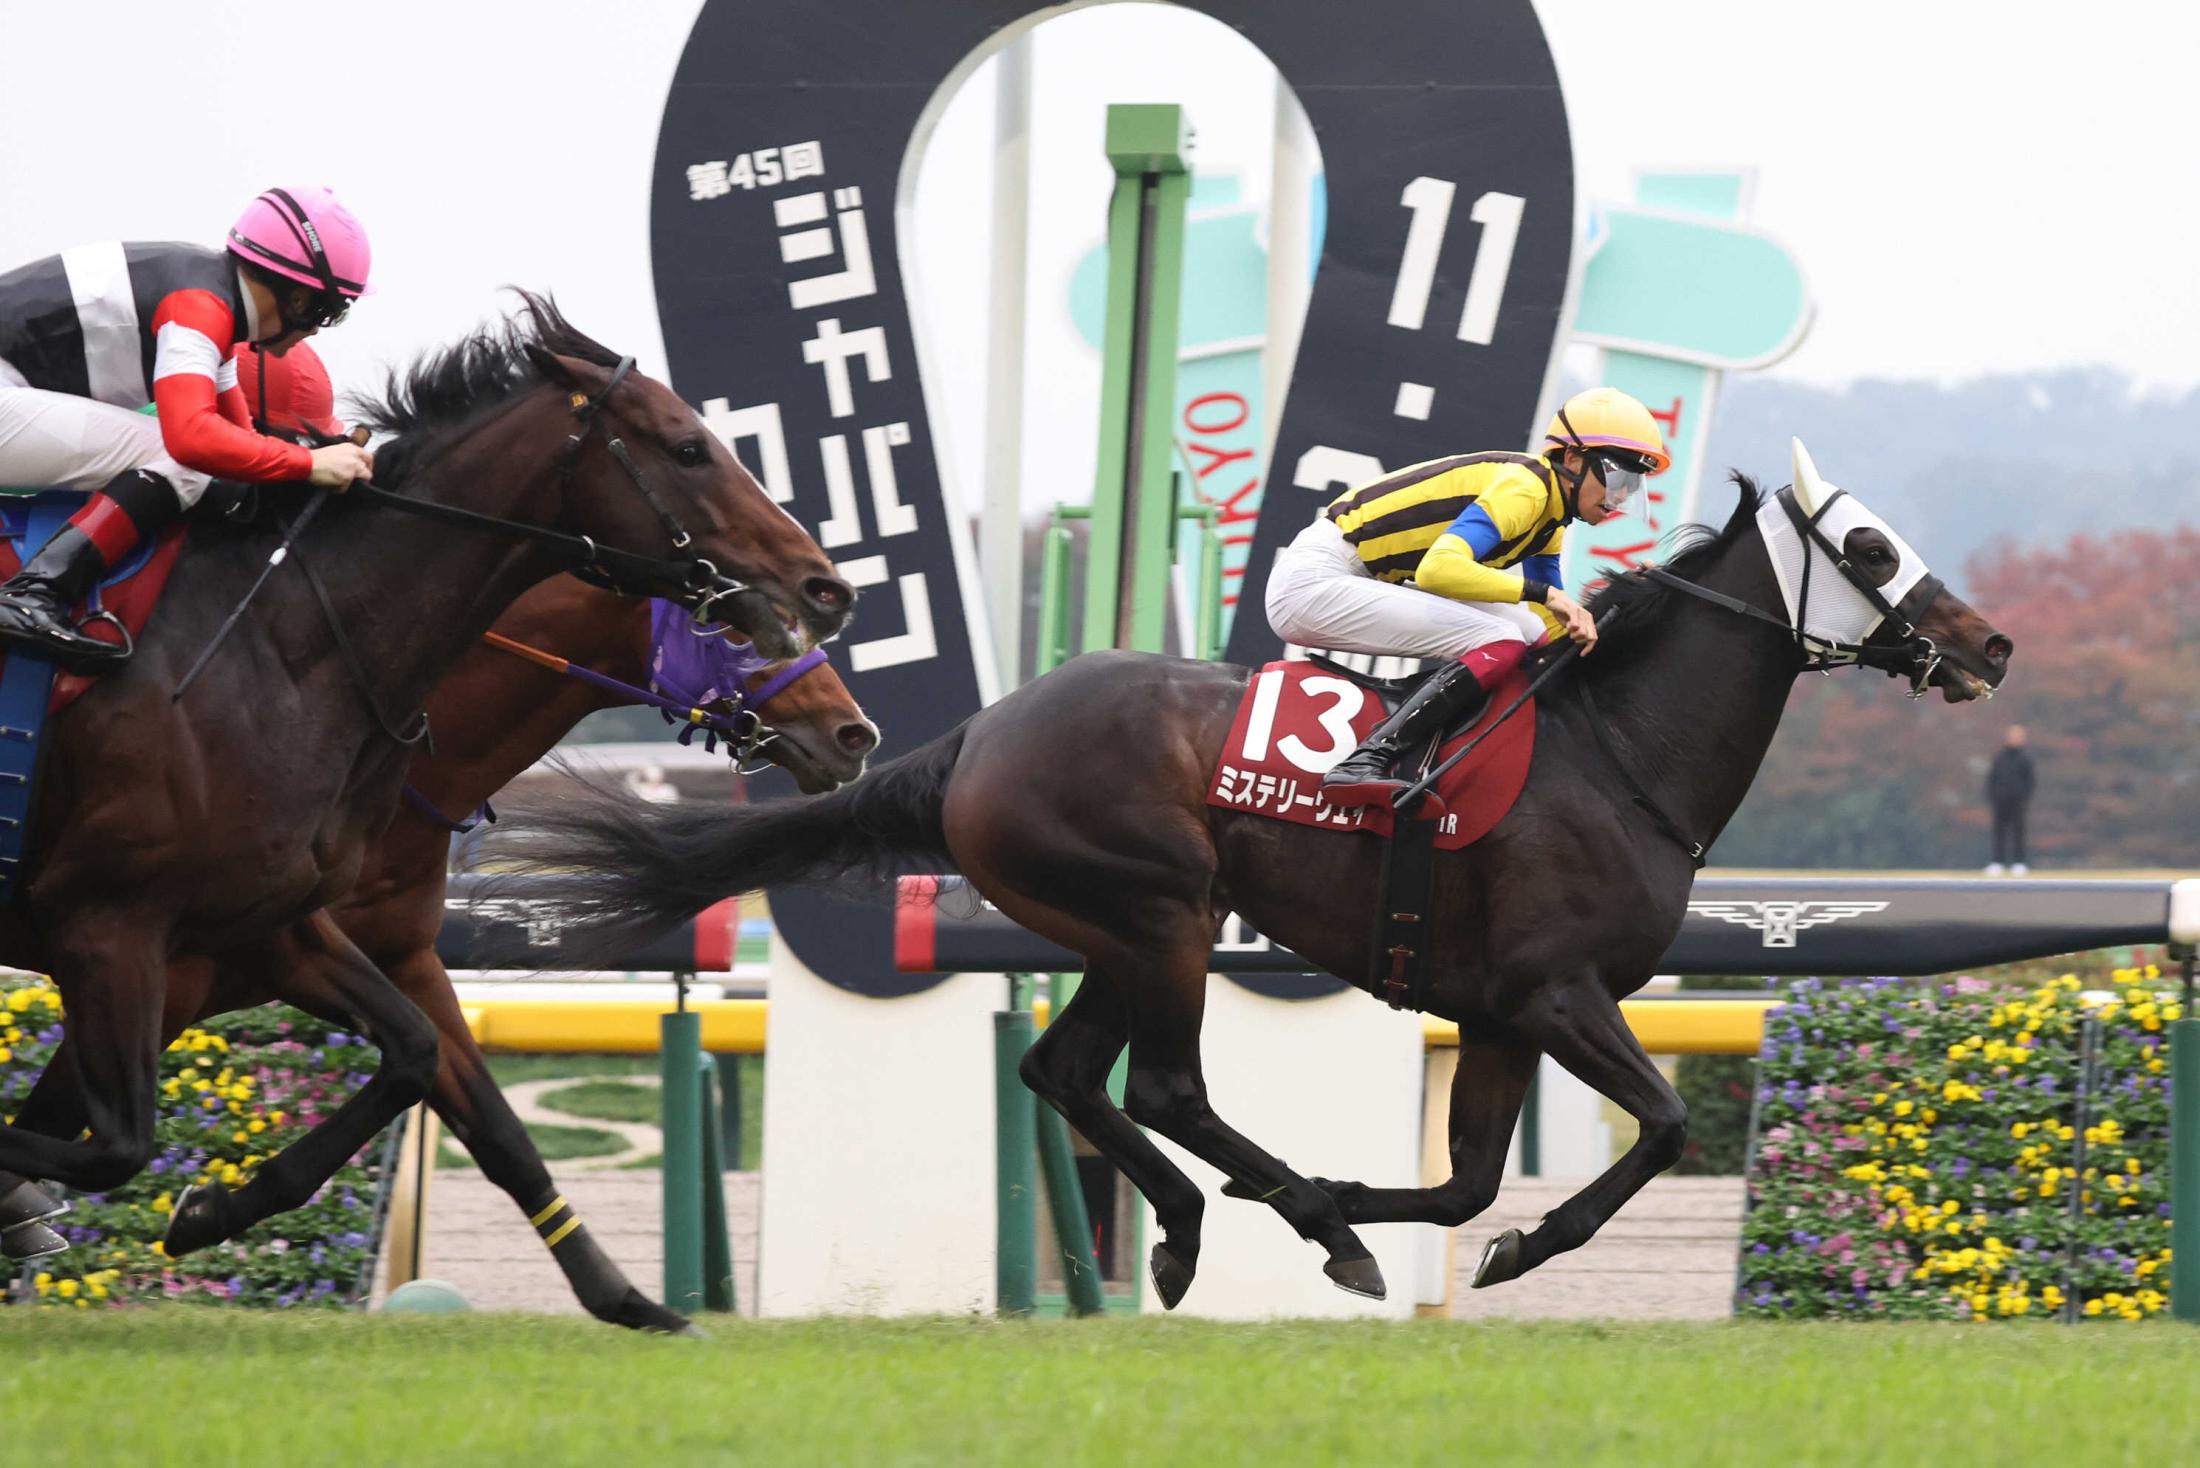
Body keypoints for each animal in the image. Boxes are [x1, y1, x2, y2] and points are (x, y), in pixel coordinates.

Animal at [0, 295, 853, 1237]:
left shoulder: (284, 927)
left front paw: (211, 1207)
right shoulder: (113, 935)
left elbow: (430, 1071)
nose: (826, 591)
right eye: (689, 447)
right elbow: (107, 1143)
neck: (285, 646)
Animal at [0, 572, 874, 1329]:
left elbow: (491, 1124)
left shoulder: (400, 963)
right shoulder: (159, 966)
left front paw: (627, 1300)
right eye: (735, 625)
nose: (853, 732)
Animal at [489, 448, 2013, 1309]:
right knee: (1163, 1085)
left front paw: (1430, 1228)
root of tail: (979, 733)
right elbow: (1661, 1128)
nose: (1990, 645)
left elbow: (1463, 1188)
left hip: (1120, 927)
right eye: (1867, 548)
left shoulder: (1503, 1014)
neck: (1615, 754)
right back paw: (1291, 1217)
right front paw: (1477, 1242)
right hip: (1161, 913)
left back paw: (1190, 1229)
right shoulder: (1559, 991)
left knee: (1064, 1073)